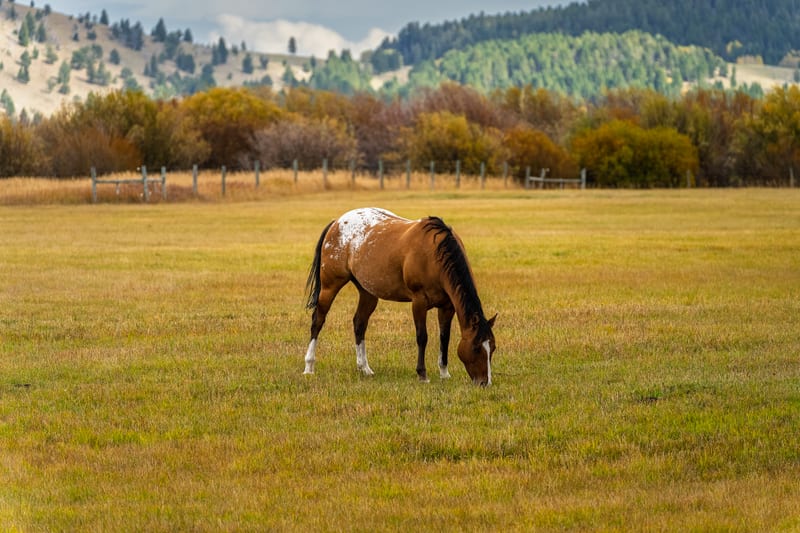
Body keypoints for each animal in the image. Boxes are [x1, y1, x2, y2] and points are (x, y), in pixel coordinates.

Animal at [303, 207, 497, 385]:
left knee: (359, 323)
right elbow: (422, 337)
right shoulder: (419, 302)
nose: (484, 382)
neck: (433, 255)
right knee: (318, 321)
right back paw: (309, 367)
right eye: (476, 348)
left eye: (493, 348)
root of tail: (336, 222)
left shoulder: (447, 306)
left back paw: (364, 368)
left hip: (368, 292)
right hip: (330, 286)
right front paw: (422, 374)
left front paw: (444, 373)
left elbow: (445, 337)